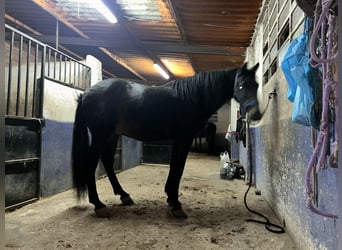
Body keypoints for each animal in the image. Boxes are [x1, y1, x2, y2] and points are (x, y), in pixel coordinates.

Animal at [71, 63, 260, 219]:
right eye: (241, 85)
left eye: (257, 85)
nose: (256, 114)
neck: (193, 97)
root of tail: (86, 93)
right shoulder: (184, 138)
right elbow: (178, 167)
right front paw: (176, 205)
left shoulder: (179, 139)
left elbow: (175, 166)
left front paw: (171, 198)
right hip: (100, 135)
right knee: (91, 163)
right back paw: (99, 205)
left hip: (112, 135)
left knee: (108, 161)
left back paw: (124, 195)